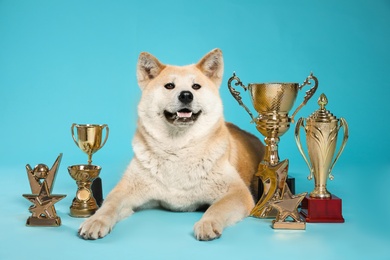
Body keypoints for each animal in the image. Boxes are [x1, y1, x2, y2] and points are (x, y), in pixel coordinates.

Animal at [77, 48, 264, 240]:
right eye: (169, 86)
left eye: (196, 86)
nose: (186, 95)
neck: (178, 148)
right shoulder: (126, 190)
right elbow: (109, 205)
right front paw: (95, 220)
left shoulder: (237, 192)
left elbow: (217, 208)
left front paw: (207, 223)